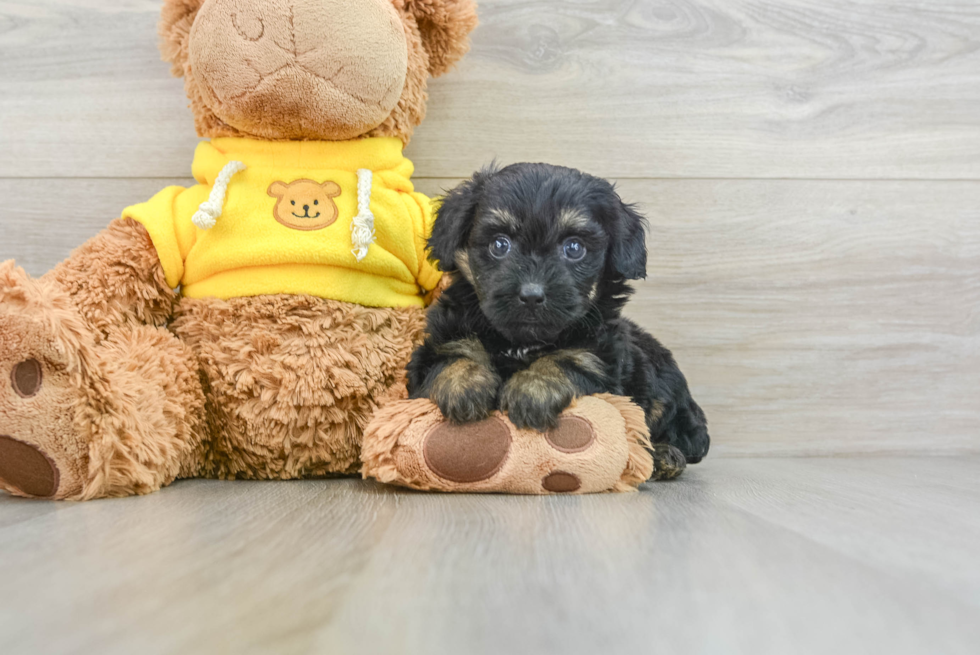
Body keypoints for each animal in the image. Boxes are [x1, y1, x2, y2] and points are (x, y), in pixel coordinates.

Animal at [406, 161, 712, 480]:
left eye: (574, 248)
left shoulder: (601, 356)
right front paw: (464, 384)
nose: (531, 295)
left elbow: (571, 357)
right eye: (499, 245)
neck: (522, 342)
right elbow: (451, 352)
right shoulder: (435, 344)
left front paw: (532, 389)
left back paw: (665, 456)